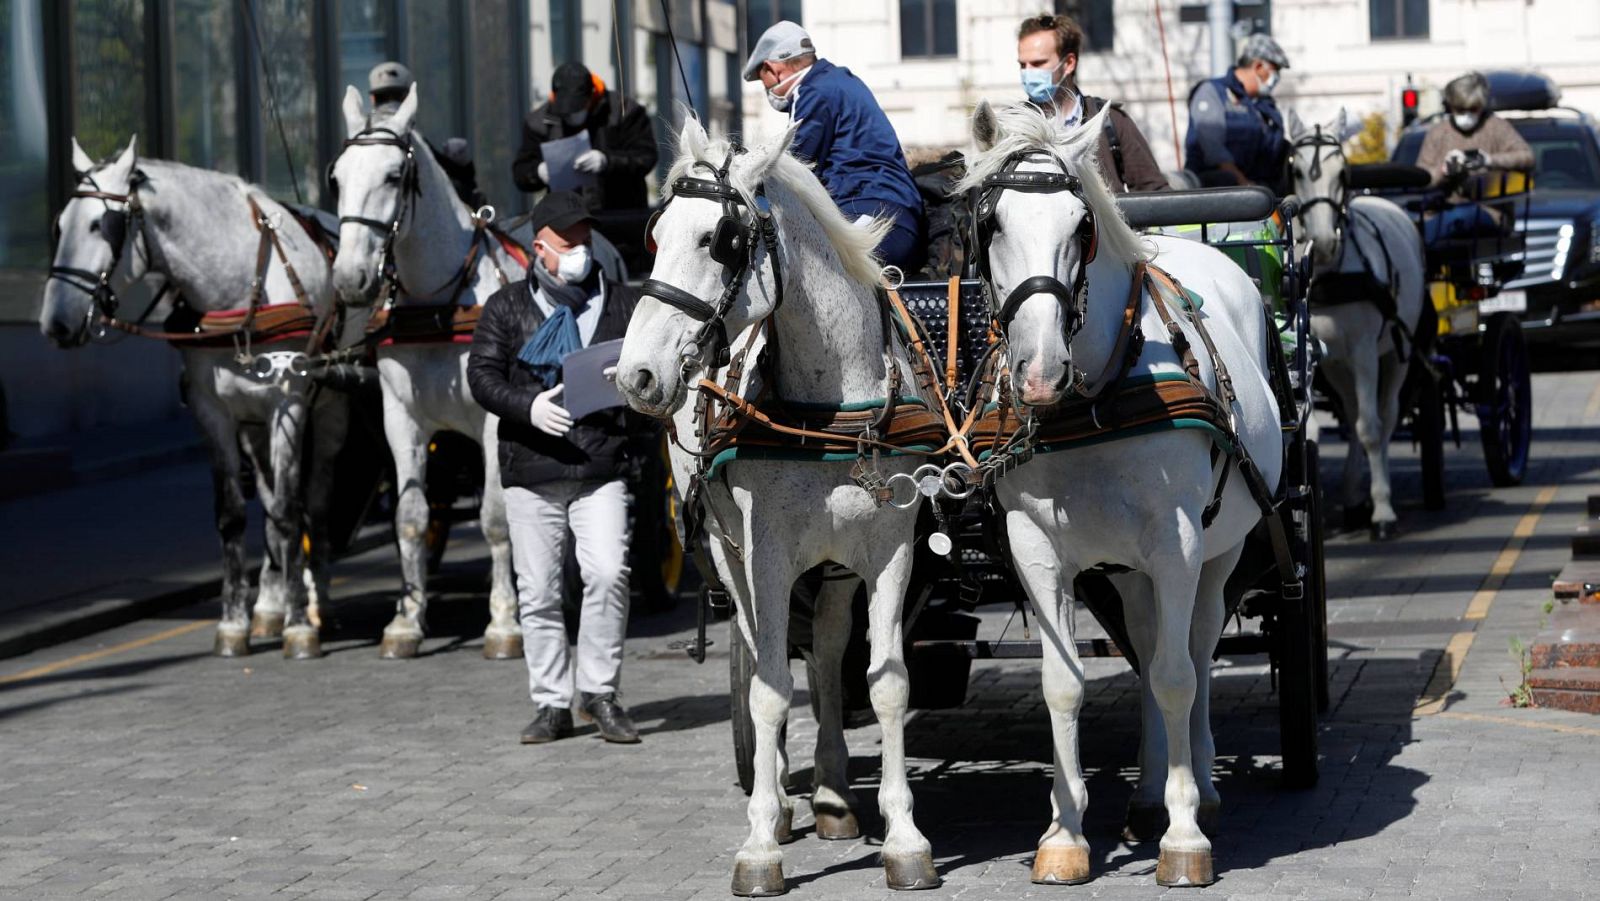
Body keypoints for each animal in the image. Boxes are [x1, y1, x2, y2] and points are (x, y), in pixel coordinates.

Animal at [39, 133, 344, 659]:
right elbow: (233, 515)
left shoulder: (288, 403)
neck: (240, 288)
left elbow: (289, 513)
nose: (56, 322)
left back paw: (316, 599)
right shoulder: (214, 412)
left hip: (327, 415)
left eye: (103, 225)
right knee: (272, 502)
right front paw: (236, 623)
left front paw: (300, 626)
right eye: (59, 225)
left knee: (315, 502)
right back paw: (271, 604)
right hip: (253, 428)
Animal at [611, 120, 934, 896]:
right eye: (654, 233)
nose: (636, 375)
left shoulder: (890, 548)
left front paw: (904, 839)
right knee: (768, 654)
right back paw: (786, 800)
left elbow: (885, 682)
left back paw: (833, 794)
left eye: (720, 239)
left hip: (835, 565)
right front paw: (760, 842)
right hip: (732, 557)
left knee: (827, 648)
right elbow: (767, 689)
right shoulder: (767, 553)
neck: (831, 402)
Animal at [960, 105, 1286, 889]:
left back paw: (1199, 785)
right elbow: (1065, 683)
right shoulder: (1036, 548)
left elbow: (1175, 676)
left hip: (1219, 552)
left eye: (1083, 224)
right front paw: (1064, 835)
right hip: (1130, 570)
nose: (1040, 371)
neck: (1093, 403)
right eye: (990, 223)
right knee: (1143, 641)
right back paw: (1145, 793)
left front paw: (1185, 835)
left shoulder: (1177, 542)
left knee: (1194, 648)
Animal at [1292, 110, 1433, 540]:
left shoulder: (1366, 352)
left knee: (1384, 416)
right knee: (1353, 415)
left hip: (1397, 354)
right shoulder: (1315, 356)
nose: (1322, 243)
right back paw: (1355, 495)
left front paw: (1382, 509)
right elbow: (1326, 426)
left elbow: (1371, 427)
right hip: (1339, 366)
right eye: (1297, 171)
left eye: (1343, 173)